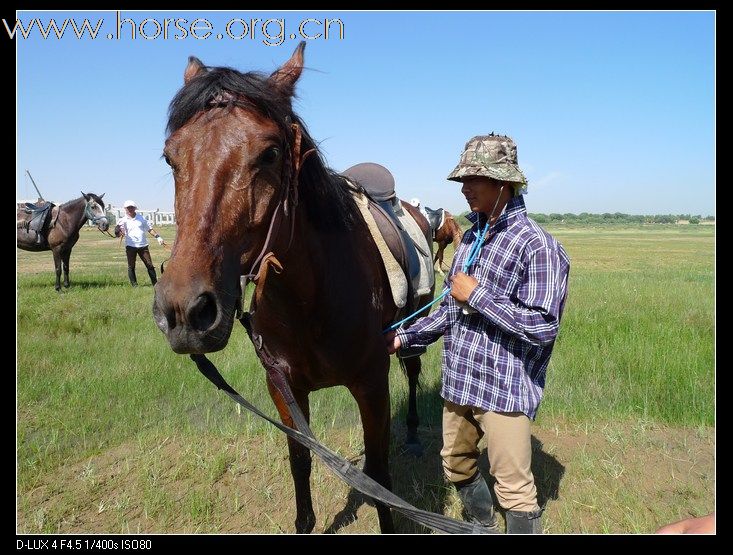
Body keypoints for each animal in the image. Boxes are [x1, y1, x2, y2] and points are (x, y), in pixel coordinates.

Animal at [151, 44, 432, 536]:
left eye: (270, 152)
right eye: (170, 157)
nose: (184, 311)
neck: (311, 299)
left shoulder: (372, 382)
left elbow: (380, 475)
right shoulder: (282, 386)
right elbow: (301, 461)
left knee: (413, 375)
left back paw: (415, 432)